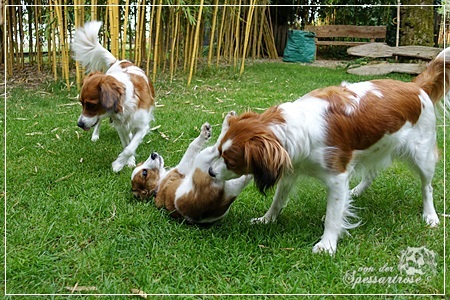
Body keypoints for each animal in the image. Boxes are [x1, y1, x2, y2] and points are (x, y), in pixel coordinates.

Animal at [71, 21, 155, 172]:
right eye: (81, 103)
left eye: (91, 104)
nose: (79, 124)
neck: (126, 102)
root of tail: (117, 61)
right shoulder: (120, 126)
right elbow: (127, 145)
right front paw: (126, 162)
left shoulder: (142, 126)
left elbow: (130, 147)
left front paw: (119, 164)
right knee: (98, 123)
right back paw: (95, 135)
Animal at [208, 48, 450, 254]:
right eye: (218, 151)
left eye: (231, 161)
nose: (210, 172)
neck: (296, 127)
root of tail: (415, 86)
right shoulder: (291, 167)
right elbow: (278, 200)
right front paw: (267, 219)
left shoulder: (337, 178)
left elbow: (333, 215)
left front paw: (327, 244)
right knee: (371, 173)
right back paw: (357, 191)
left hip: (422, 156)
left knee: (427, 187)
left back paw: (430, 215)